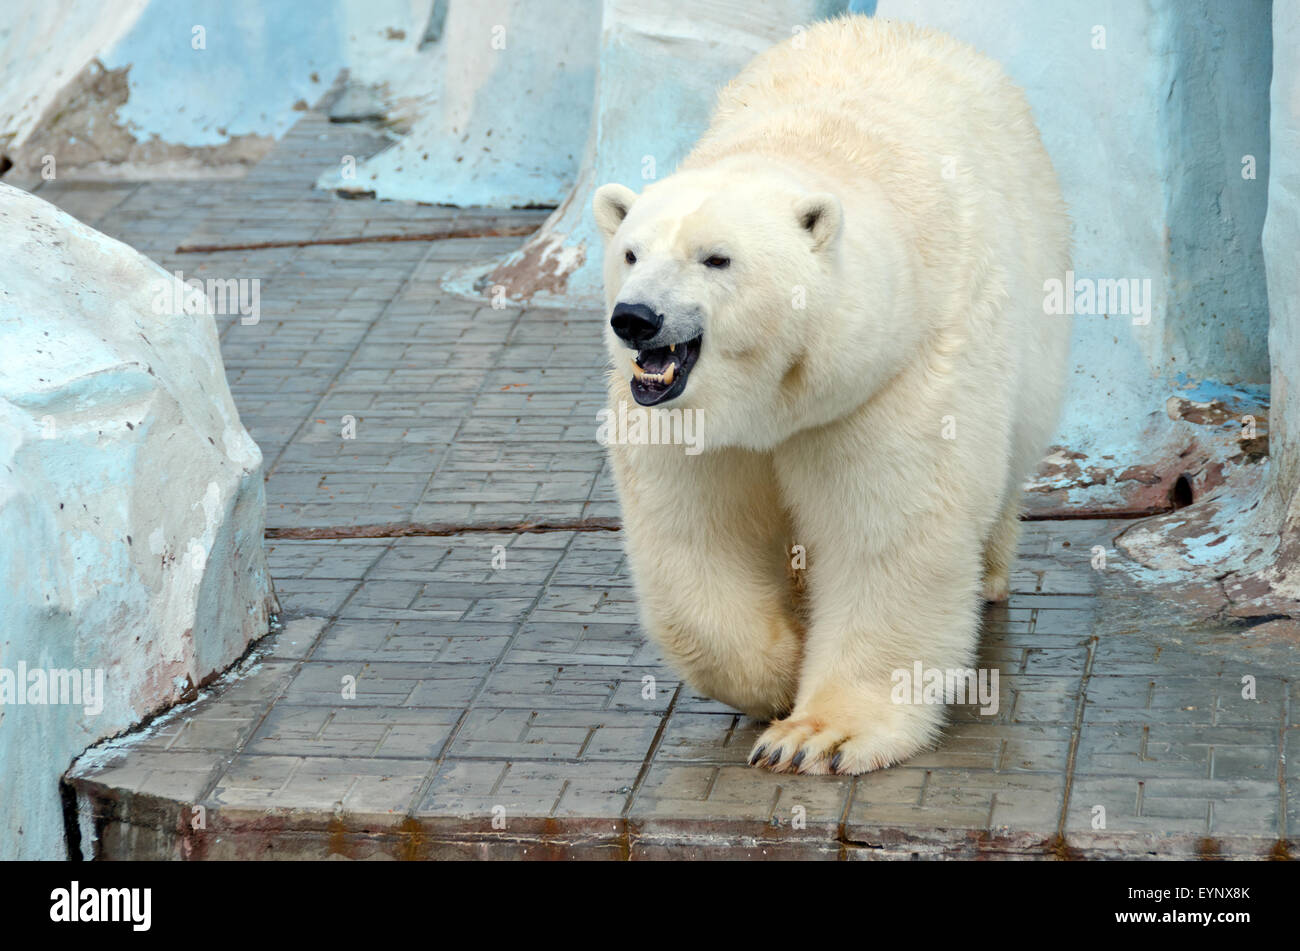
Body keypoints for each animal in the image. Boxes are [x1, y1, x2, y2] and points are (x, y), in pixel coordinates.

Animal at [595, 14, 1071, 774]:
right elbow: (695, 536)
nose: (635, 318)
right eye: (632, 252)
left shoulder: (892, 376)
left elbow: (889, 536)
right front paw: (780, 667)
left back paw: (992, 571)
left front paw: (815, 735)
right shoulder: (688, 423)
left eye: (716, 258)